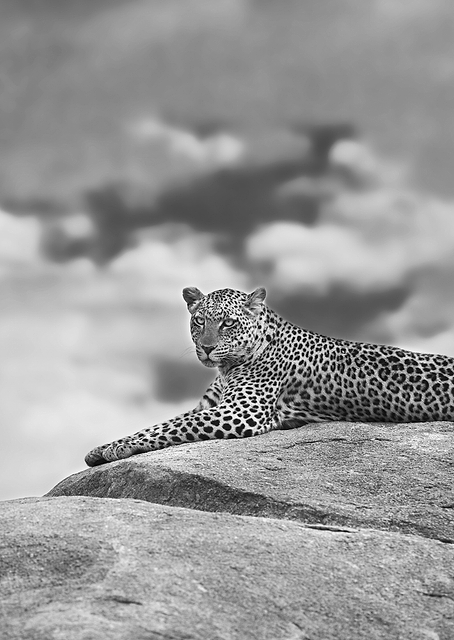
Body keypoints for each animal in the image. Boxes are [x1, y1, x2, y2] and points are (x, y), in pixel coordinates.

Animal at [85, 286, 454, 466]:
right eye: (199, 321)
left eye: (228, 323)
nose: (206, 348)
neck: (228, 366)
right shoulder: (209, 406)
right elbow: (162, 423)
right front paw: (102, 447)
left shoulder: (239, 413)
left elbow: (171, 427)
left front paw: (118, 446)